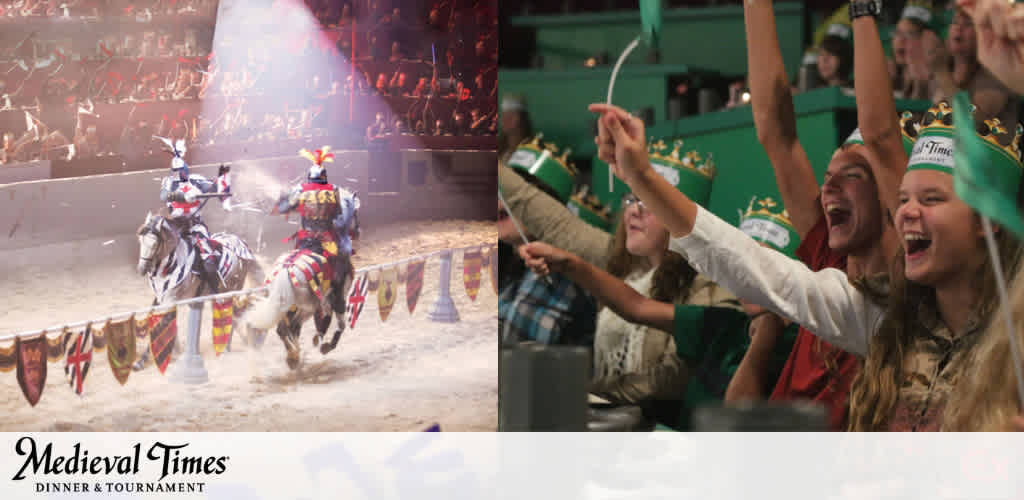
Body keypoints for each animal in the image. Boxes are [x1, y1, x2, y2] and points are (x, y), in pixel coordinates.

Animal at [136, 212, 258, 366]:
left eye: (154, 244)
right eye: (140, 241)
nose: (141, 269)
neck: (171, 265)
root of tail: (242, 243)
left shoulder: (171, 299)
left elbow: (160, 324)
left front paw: (142, 360)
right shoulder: (161, 298)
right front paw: (173, 351)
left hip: (233, 288)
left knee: (232, 314)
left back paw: (227, 347)